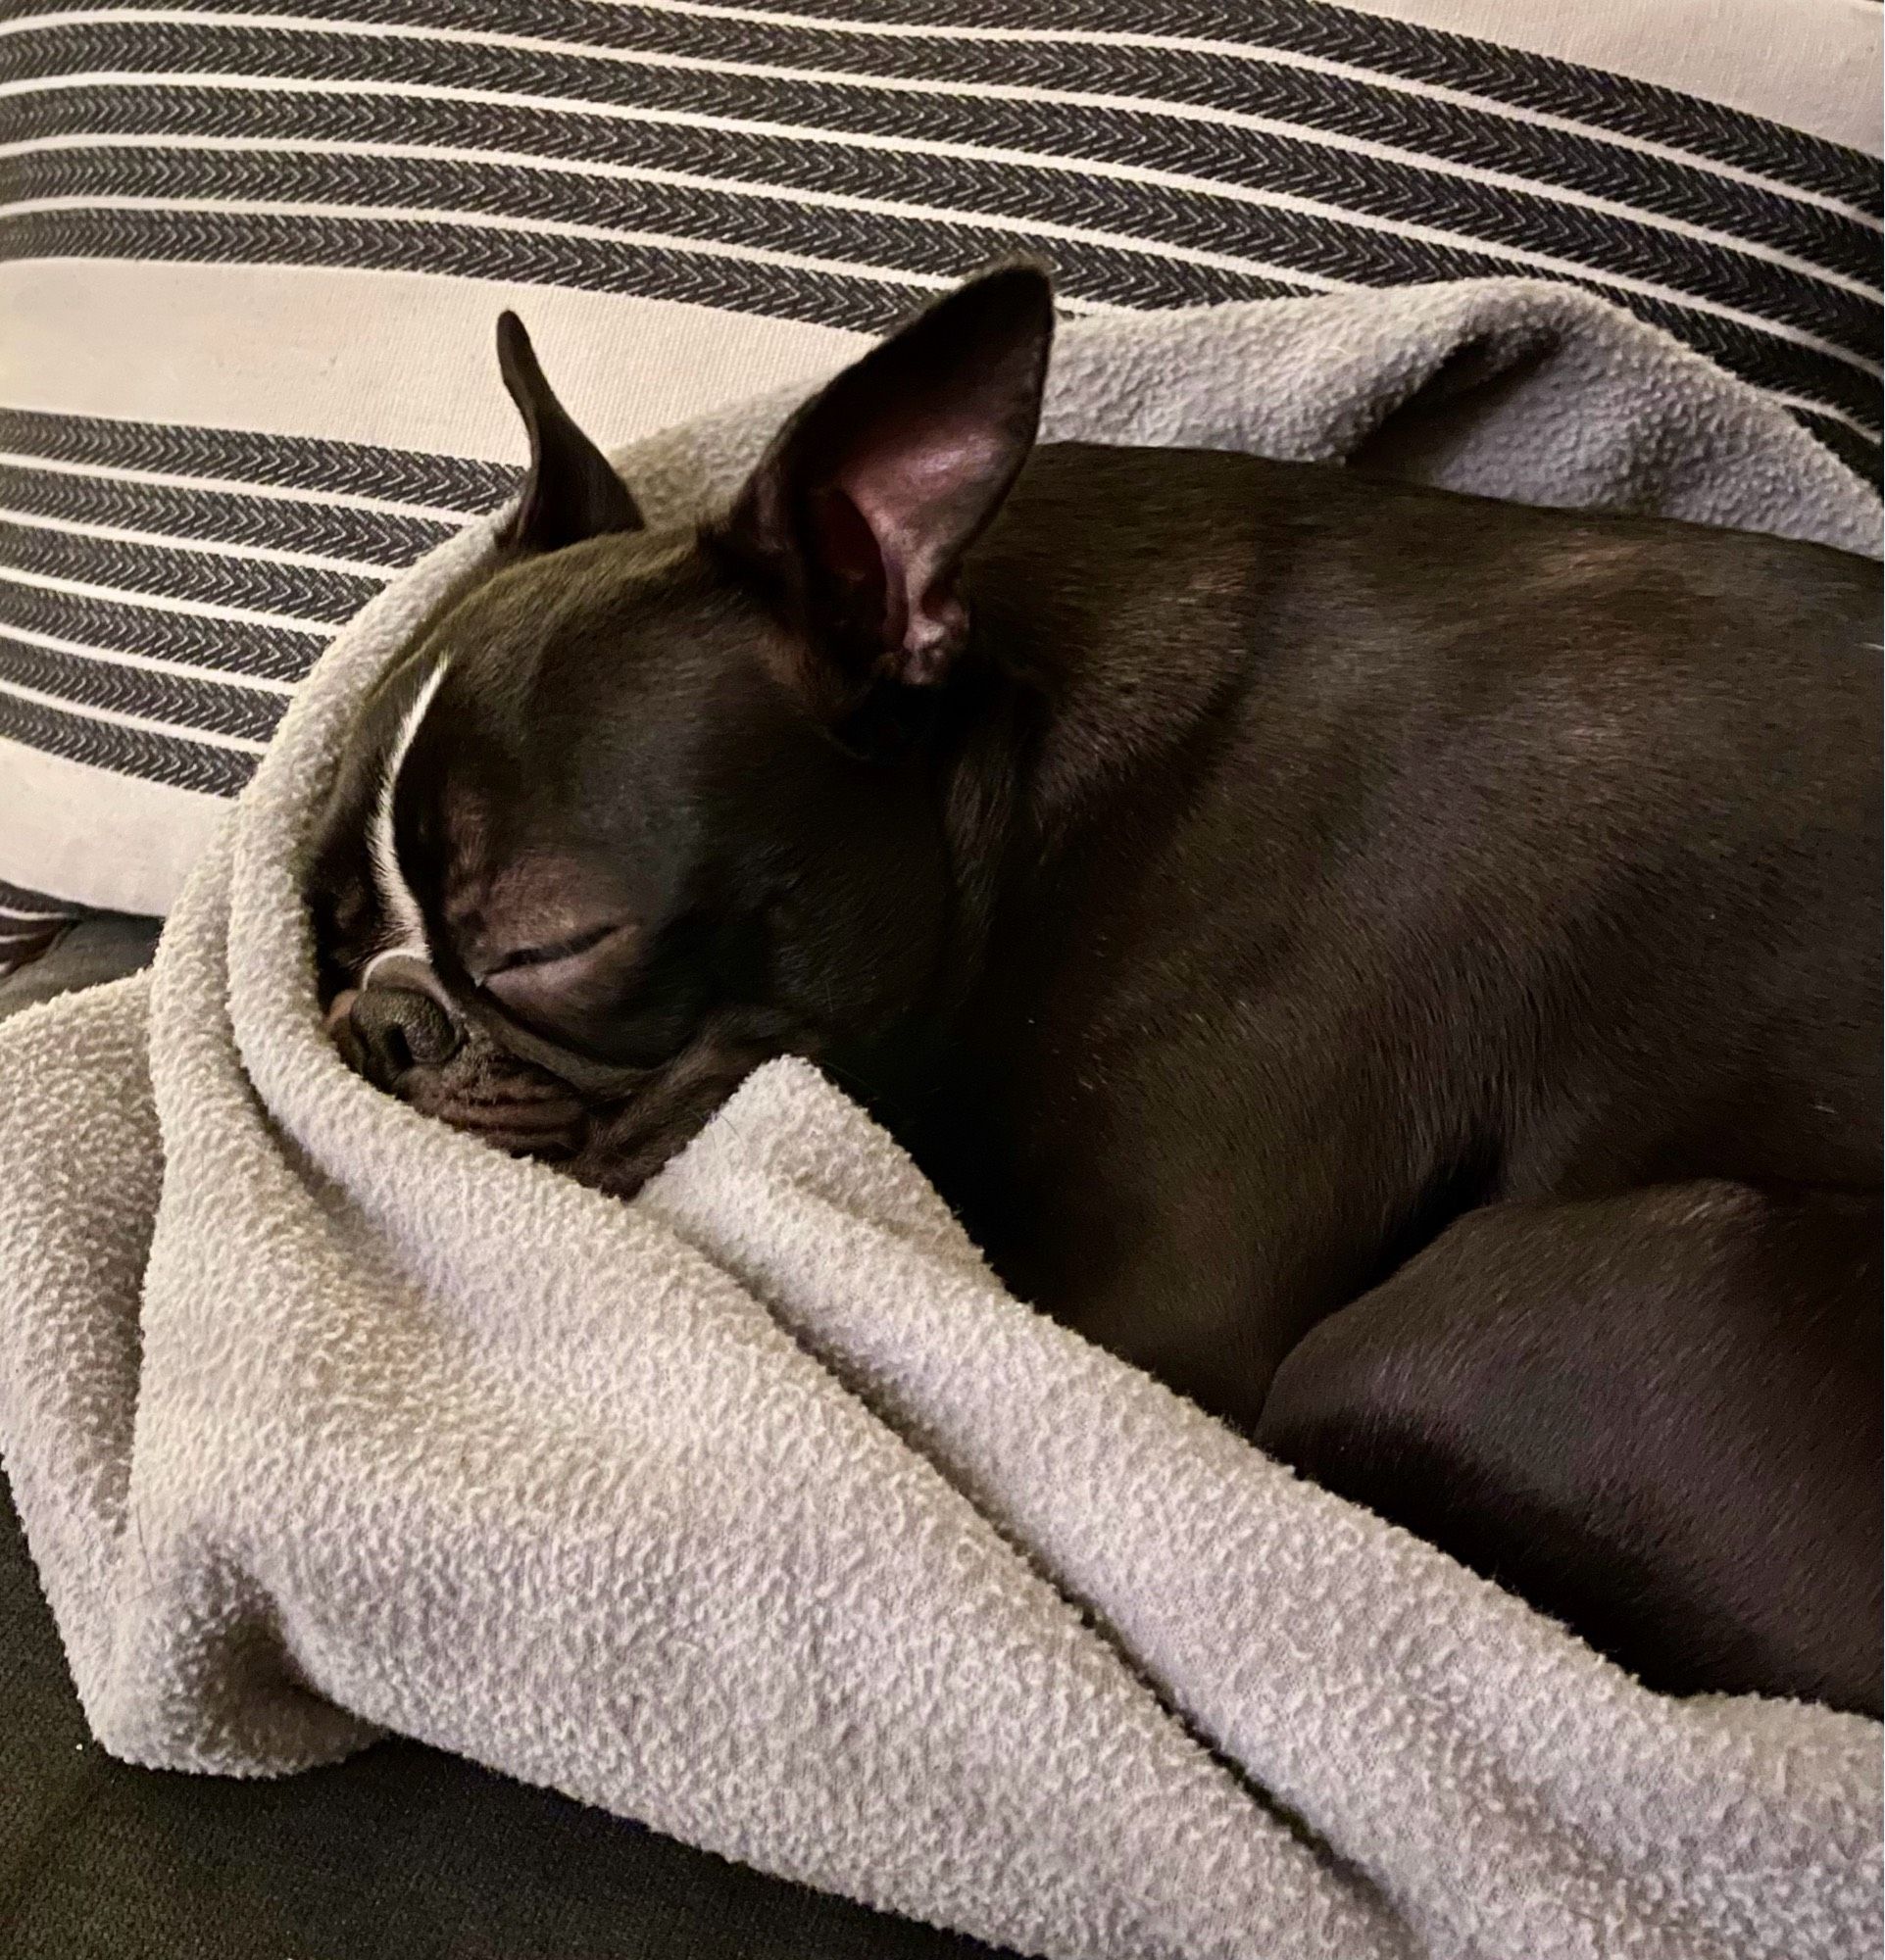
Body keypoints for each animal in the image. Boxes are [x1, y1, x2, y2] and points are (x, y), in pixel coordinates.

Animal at [301, 265, 1873, 1717]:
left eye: (548, 945)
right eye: (328, 921)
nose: (381, 1021)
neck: (1020, 774)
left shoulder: (1151, 1320)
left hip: (1486, 1311)